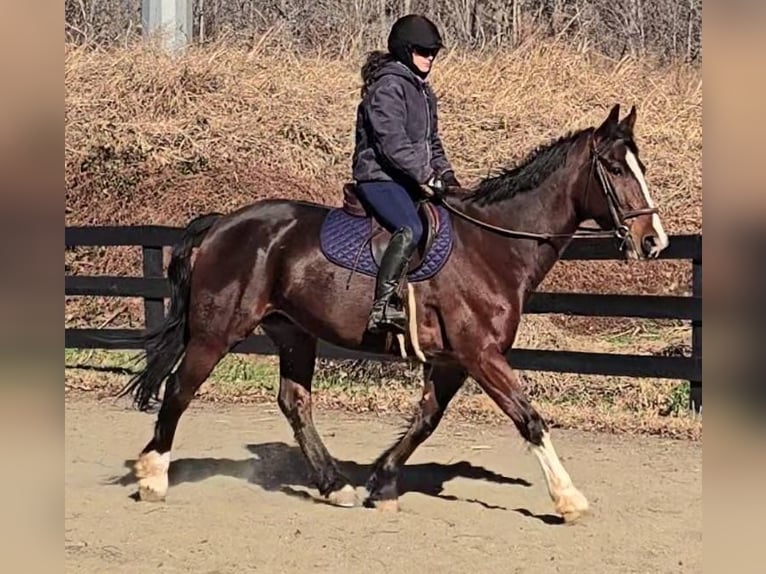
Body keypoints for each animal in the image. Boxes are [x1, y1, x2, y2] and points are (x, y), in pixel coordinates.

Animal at [119, 103, 669, 523]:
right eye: (616, 169)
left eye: (640, 166)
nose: (654, 242)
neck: (491, 246)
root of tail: (221, 224)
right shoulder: (481, 355)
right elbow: (529, 418)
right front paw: (568, 498)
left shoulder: (452, 362)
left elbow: (426, 421)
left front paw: (380, 484)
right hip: (216, 332)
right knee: (180, 389)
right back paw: (153, 476)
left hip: (294, 333)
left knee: (295, 402)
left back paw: (335, 485)